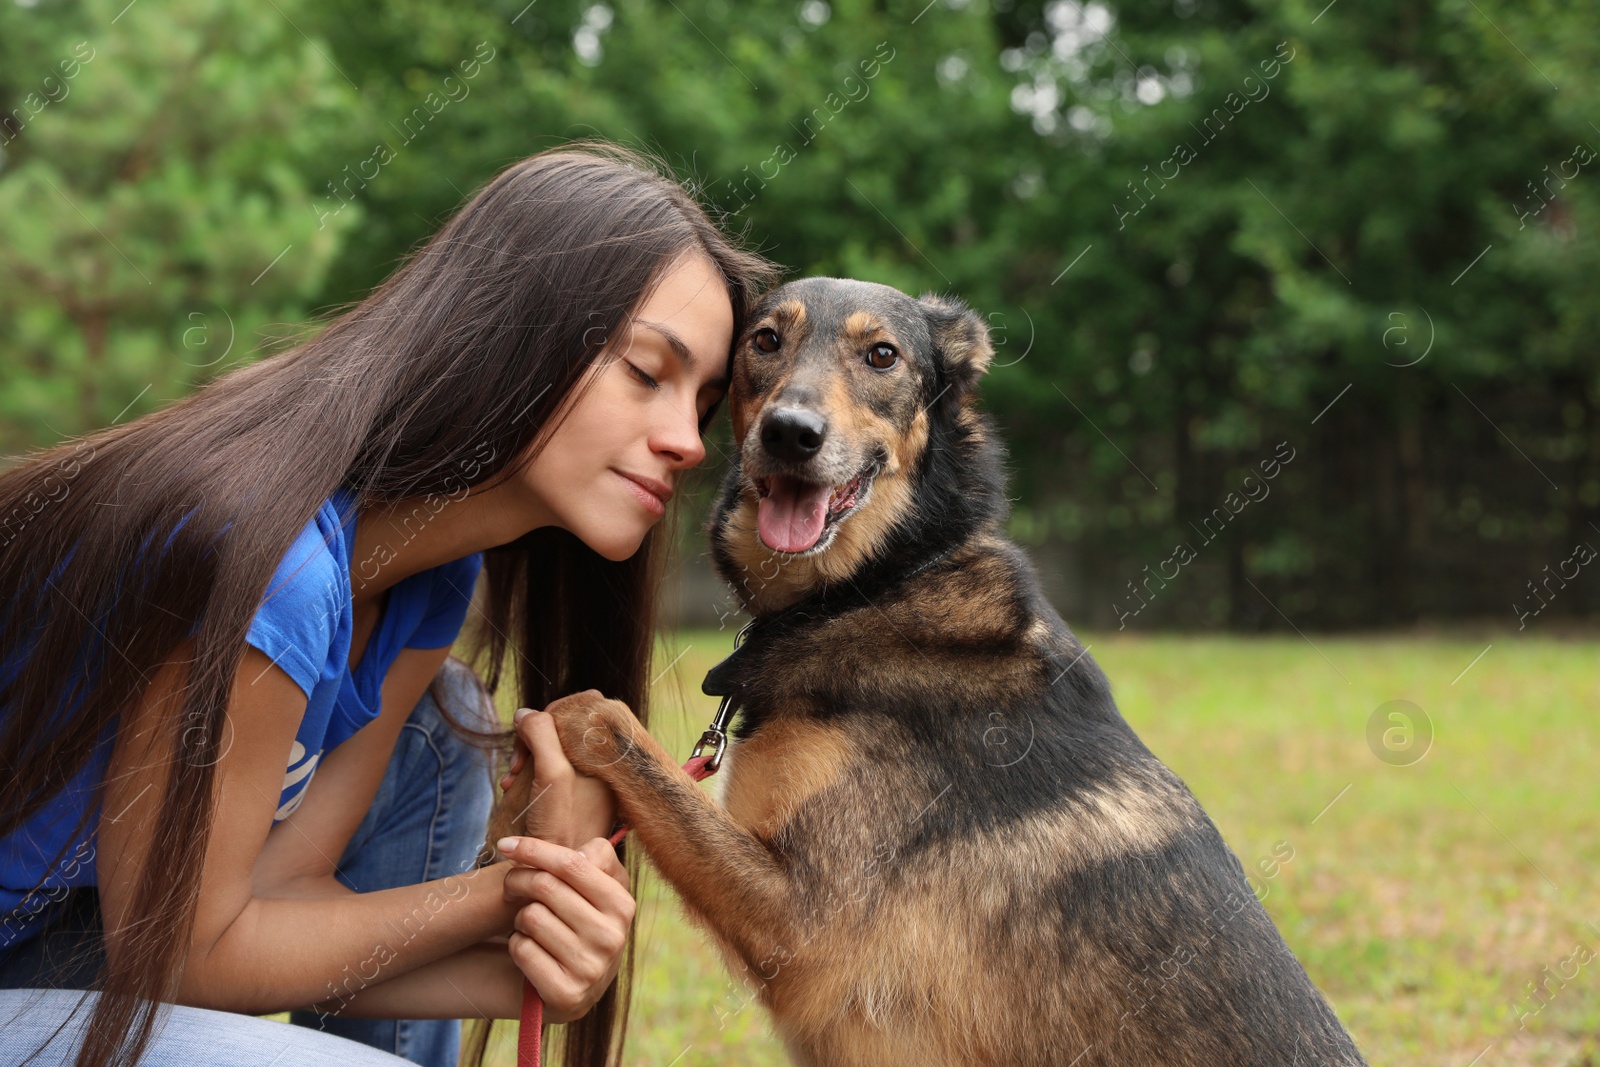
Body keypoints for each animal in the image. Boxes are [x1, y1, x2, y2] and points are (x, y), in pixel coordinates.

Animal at [524, 279, 1363, 1062]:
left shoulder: (804, 925)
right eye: (763, 340)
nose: (790, 432)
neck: (885, 580)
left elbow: (609, 721)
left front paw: (543, 731)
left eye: (882, 355)